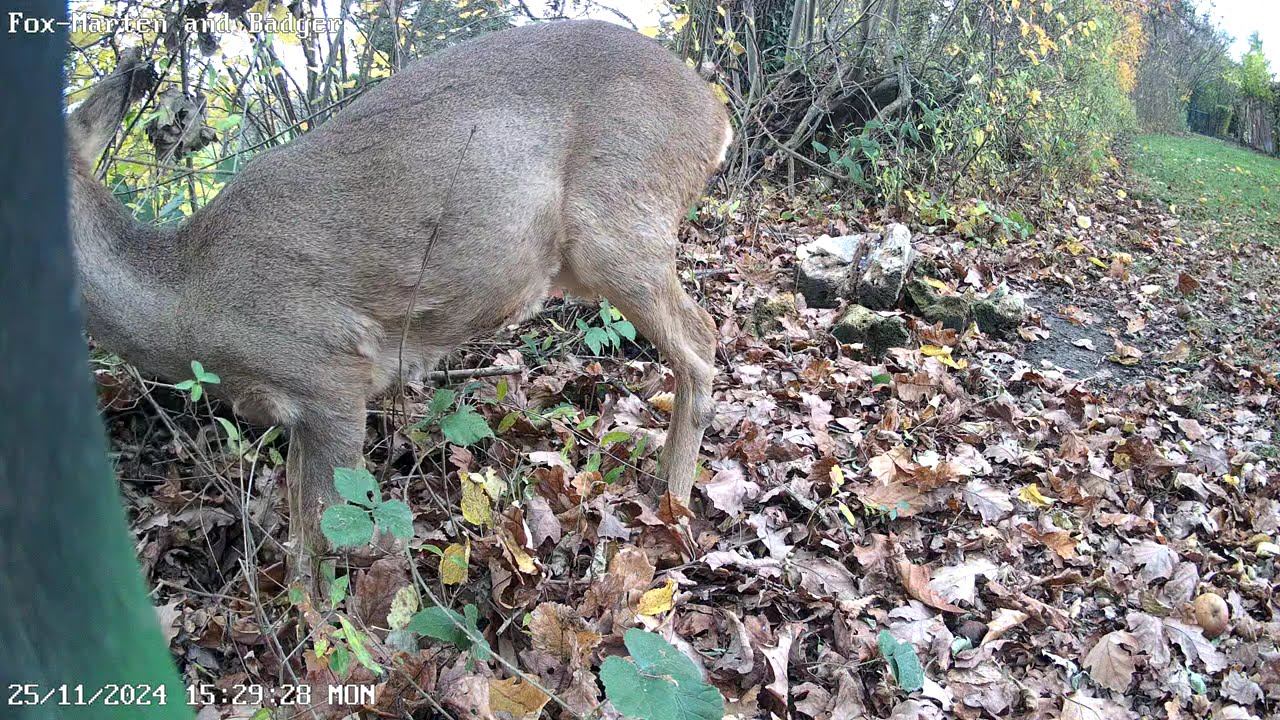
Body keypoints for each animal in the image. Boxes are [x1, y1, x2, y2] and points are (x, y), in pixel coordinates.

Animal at [70, 20, 732, 584]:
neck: (190, 298)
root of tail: (715, 115)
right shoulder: (294, 414)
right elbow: (300, 535)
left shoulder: (330, 377)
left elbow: (329, 534)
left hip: (622, 226)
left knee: (700, 341)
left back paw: (672, 512)